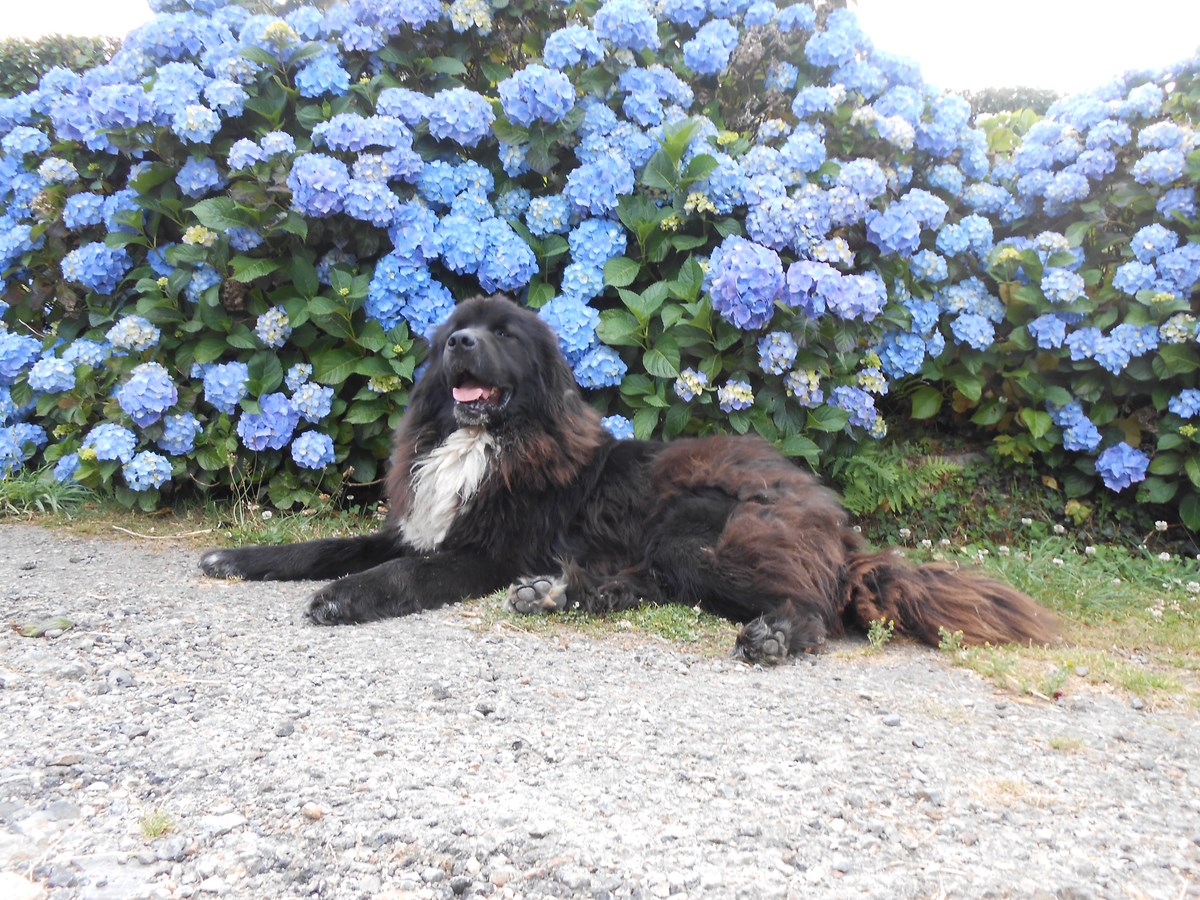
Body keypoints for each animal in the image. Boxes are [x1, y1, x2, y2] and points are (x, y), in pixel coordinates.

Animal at [200, 294, 1056, 661]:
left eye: (505, 336)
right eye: (455, 333)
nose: (461, 346)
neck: (490, 441)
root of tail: (838, 523)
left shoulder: (482, 553)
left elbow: (403, 574)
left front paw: (345, 599)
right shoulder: (416, 523)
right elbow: (324, 545)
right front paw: (237, 559)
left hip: (708, 525)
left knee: (824, 611)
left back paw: (777, 634)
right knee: (649, 587)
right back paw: (556, 595)